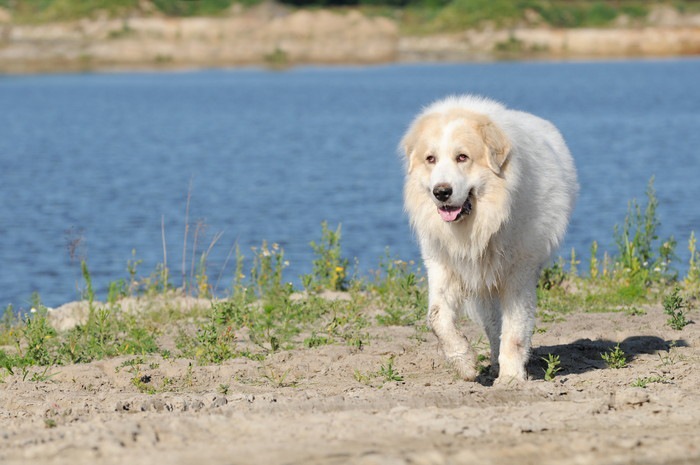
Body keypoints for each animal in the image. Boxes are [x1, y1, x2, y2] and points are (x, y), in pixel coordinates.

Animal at [402, 94, 576, 380]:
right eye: (431, 159)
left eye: (462, 157)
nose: (441, 192)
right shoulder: (442, 265)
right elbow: (436, 317)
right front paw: (464, 362)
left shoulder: (519, 273)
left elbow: (515, 330)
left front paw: (511, 379)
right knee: (493, 325)